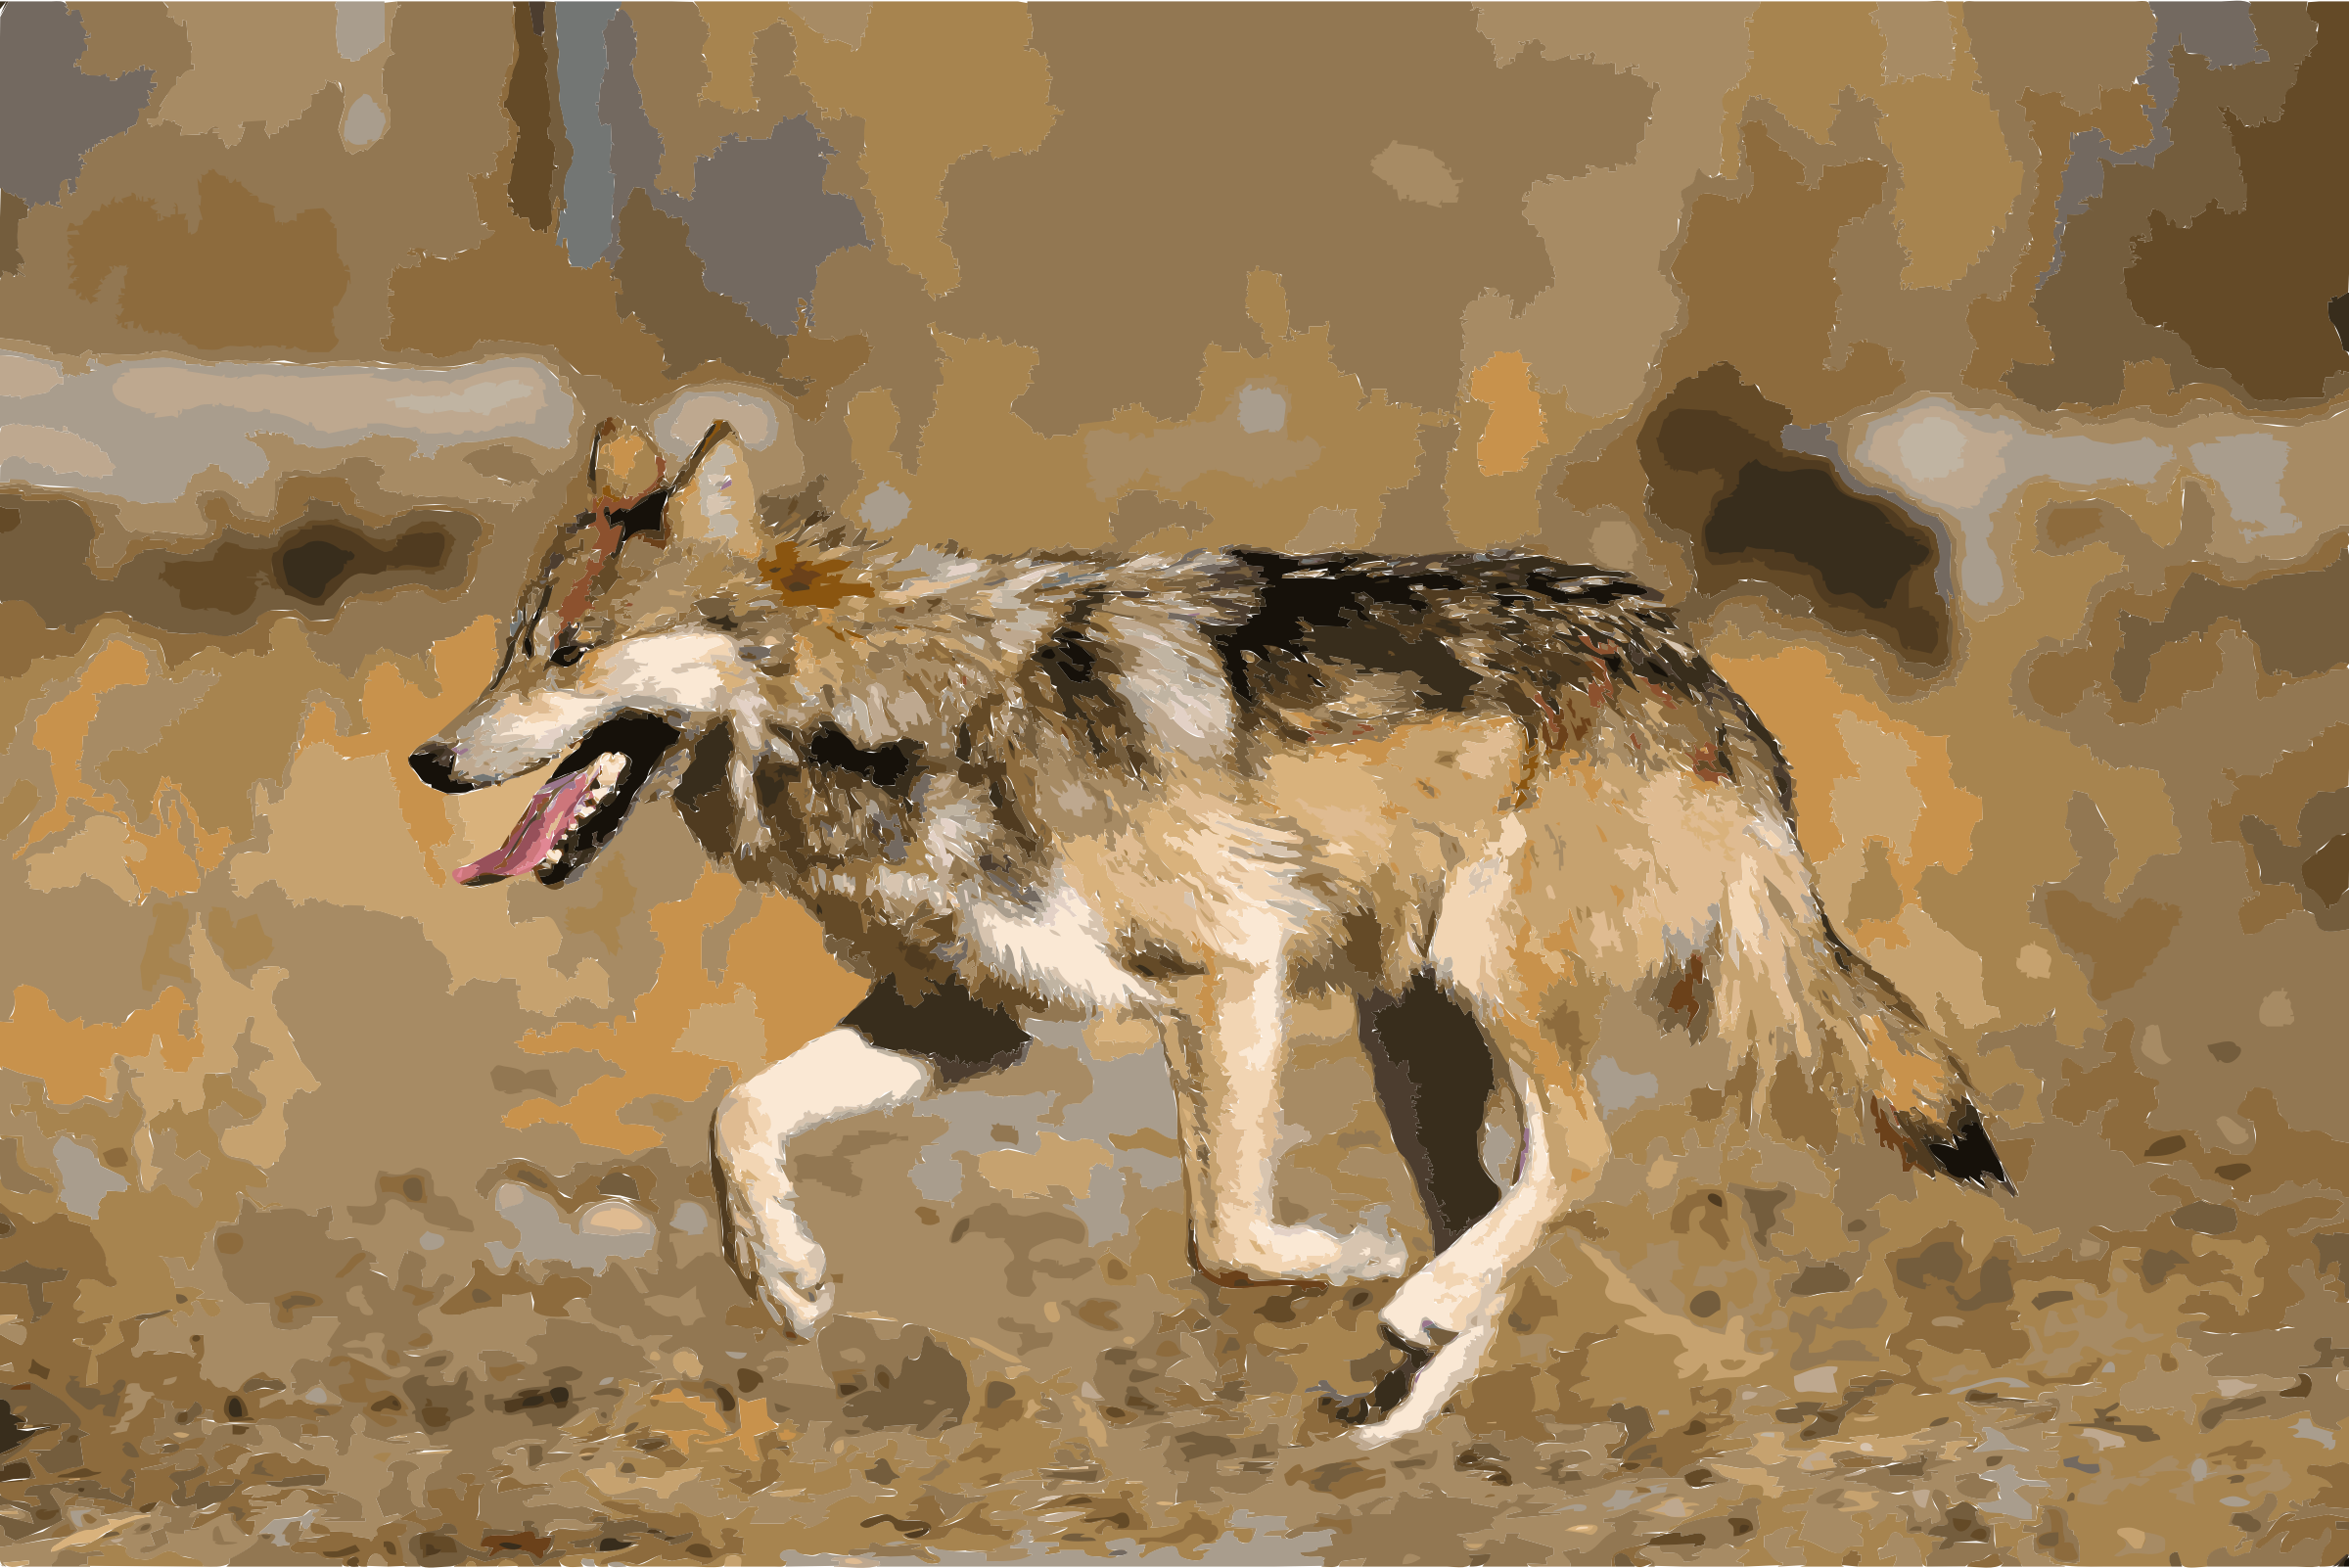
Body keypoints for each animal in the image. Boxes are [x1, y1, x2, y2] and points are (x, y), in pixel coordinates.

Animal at [410, 416, 2010, 1442]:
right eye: (510, 651)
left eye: (571, 656)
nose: (431, 759)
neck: (890, 715)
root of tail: (1693, 667)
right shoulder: (965, 1020)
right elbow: (736, 1115)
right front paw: (782, 1273)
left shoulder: (1215, 977)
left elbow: (1225, 1237)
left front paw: (1344, 1261)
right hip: (1409, 1034)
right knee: (1496, 1196)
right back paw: (1404, 1389)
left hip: (1477, 979)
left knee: (1576, 1153)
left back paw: (1411, 1305)